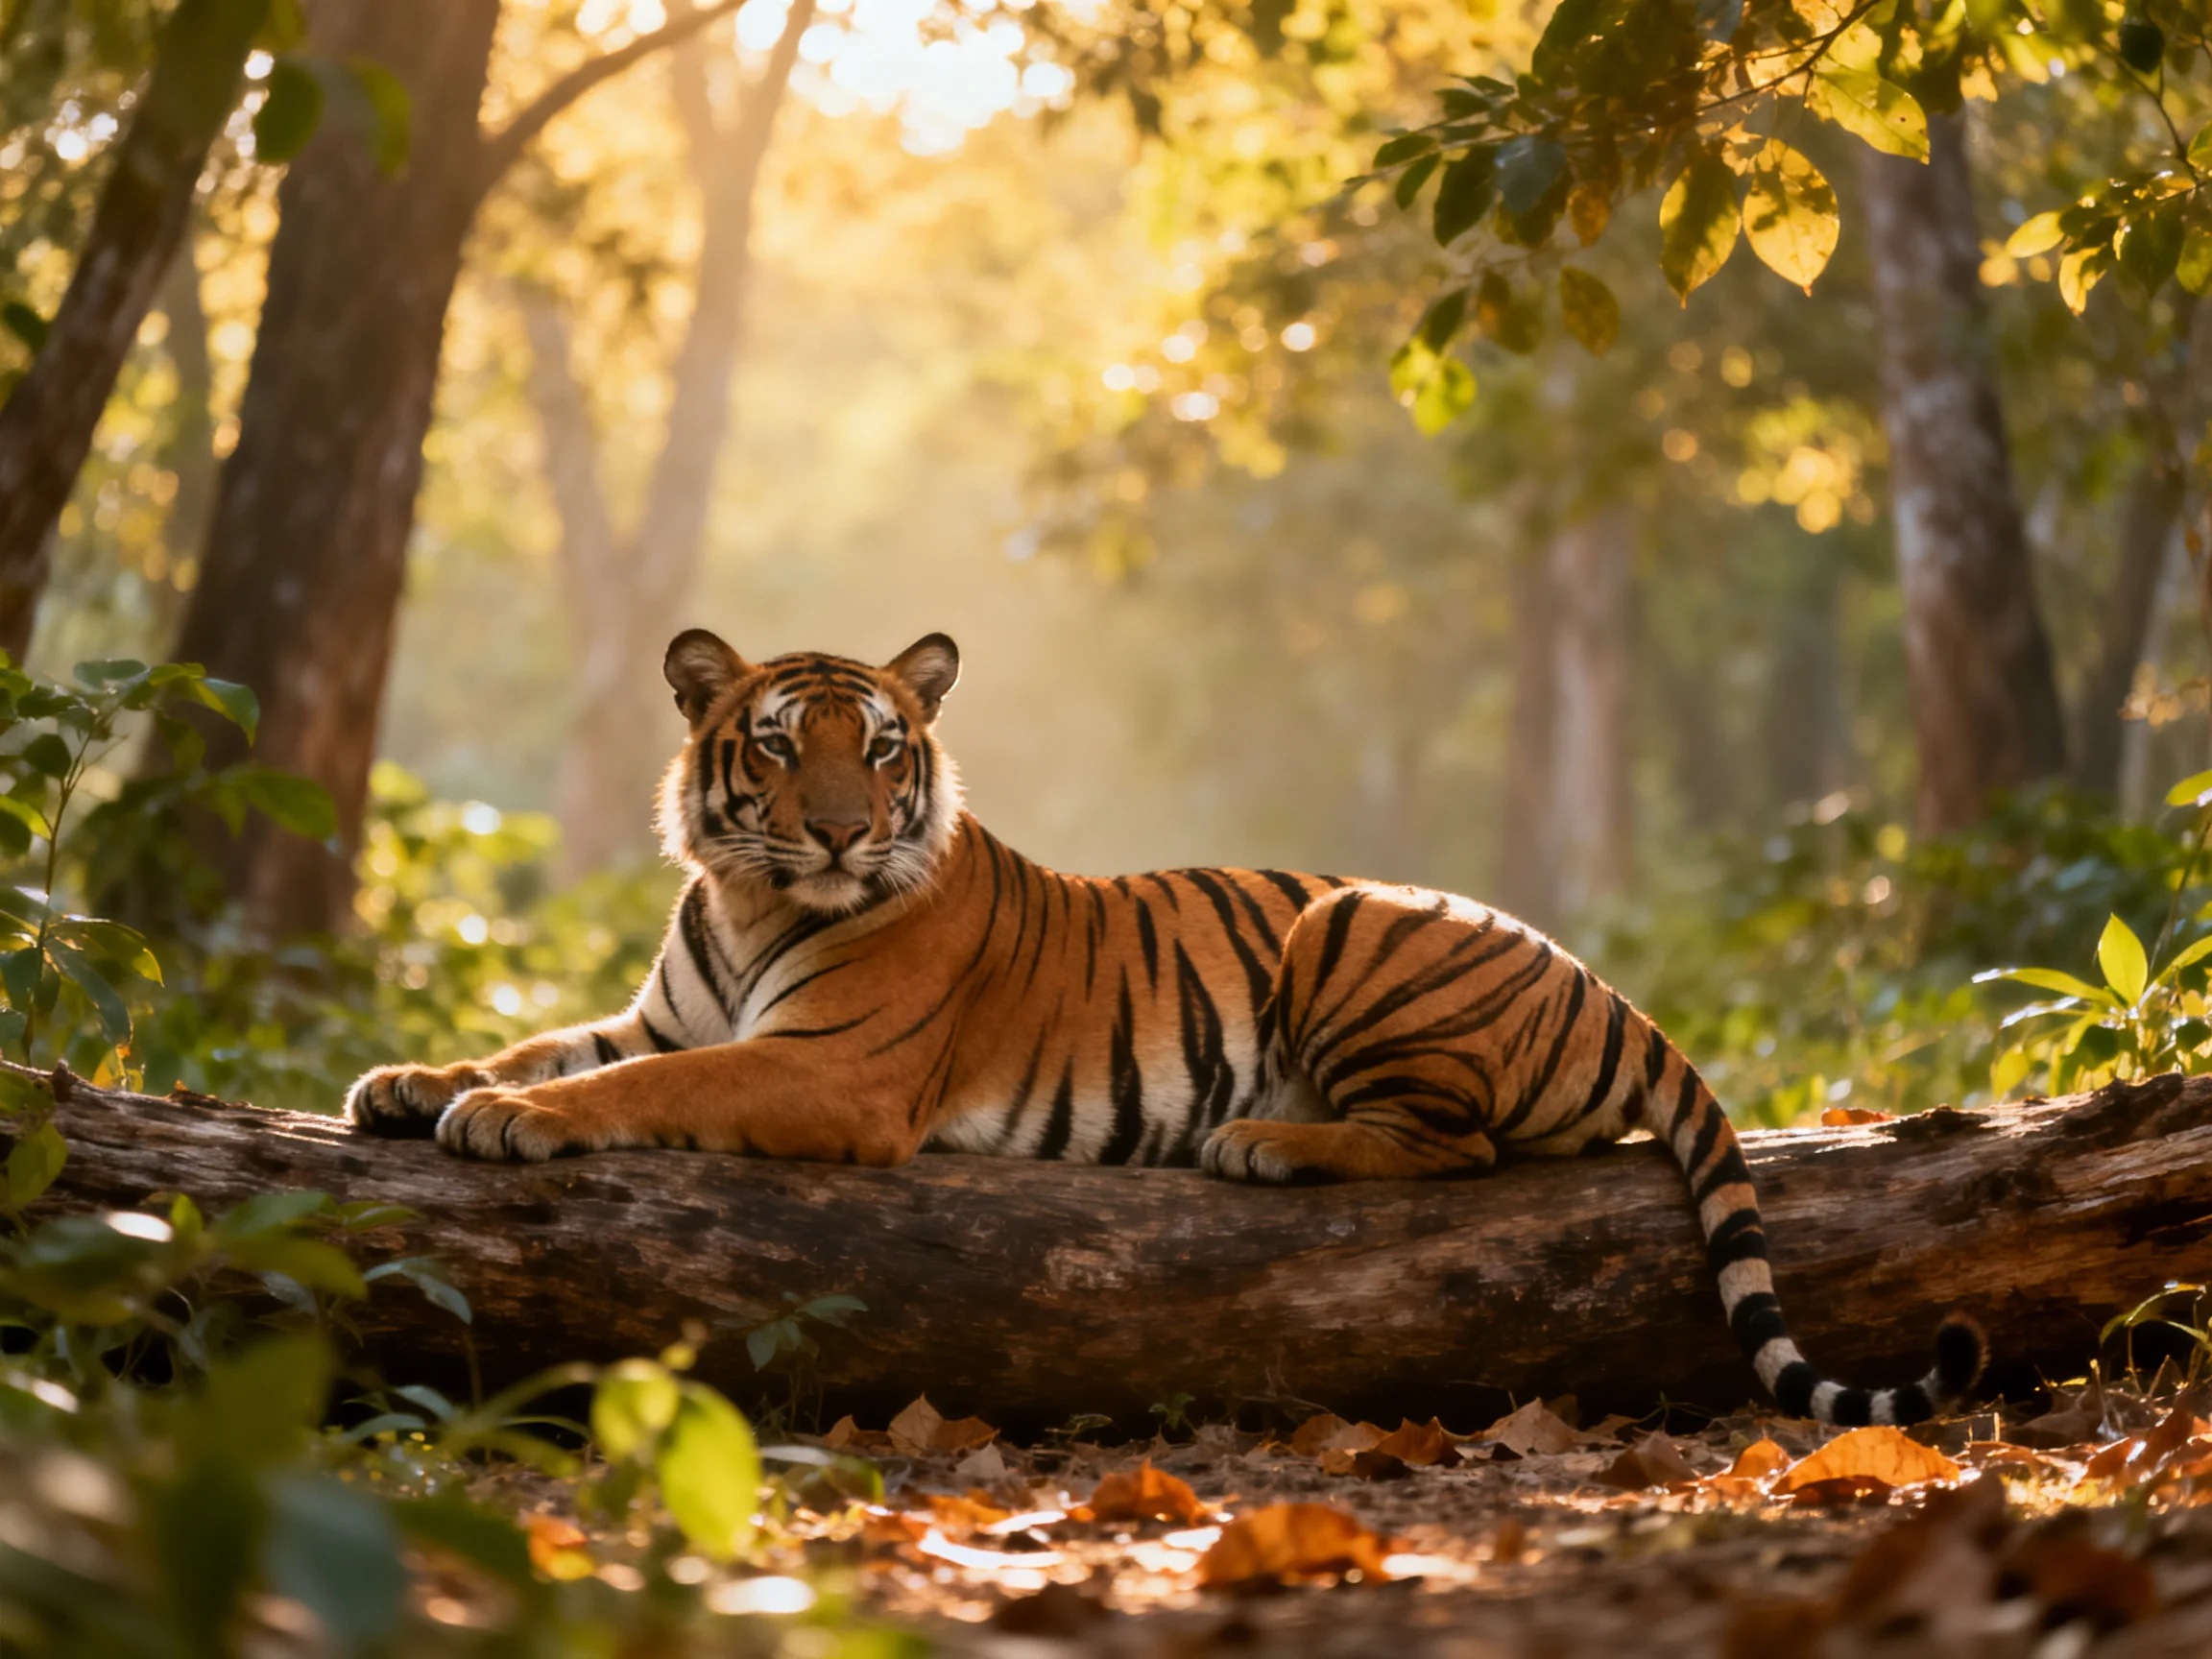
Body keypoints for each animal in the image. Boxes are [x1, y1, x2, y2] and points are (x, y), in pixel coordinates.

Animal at [345, 627, 1985, 1427]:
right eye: (777, 744)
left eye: (881, 750)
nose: (839, 832)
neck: (750, 899)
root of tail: (1603, 983)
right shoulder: (654, 1011)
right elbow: (549, 1045)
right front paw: (413, 1079)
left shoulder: (831, 1070)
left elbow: (654, 1085)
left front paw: (511, 1123)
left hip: (1350, 925)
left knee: (1453, 1149)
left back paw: (1262, 1143)